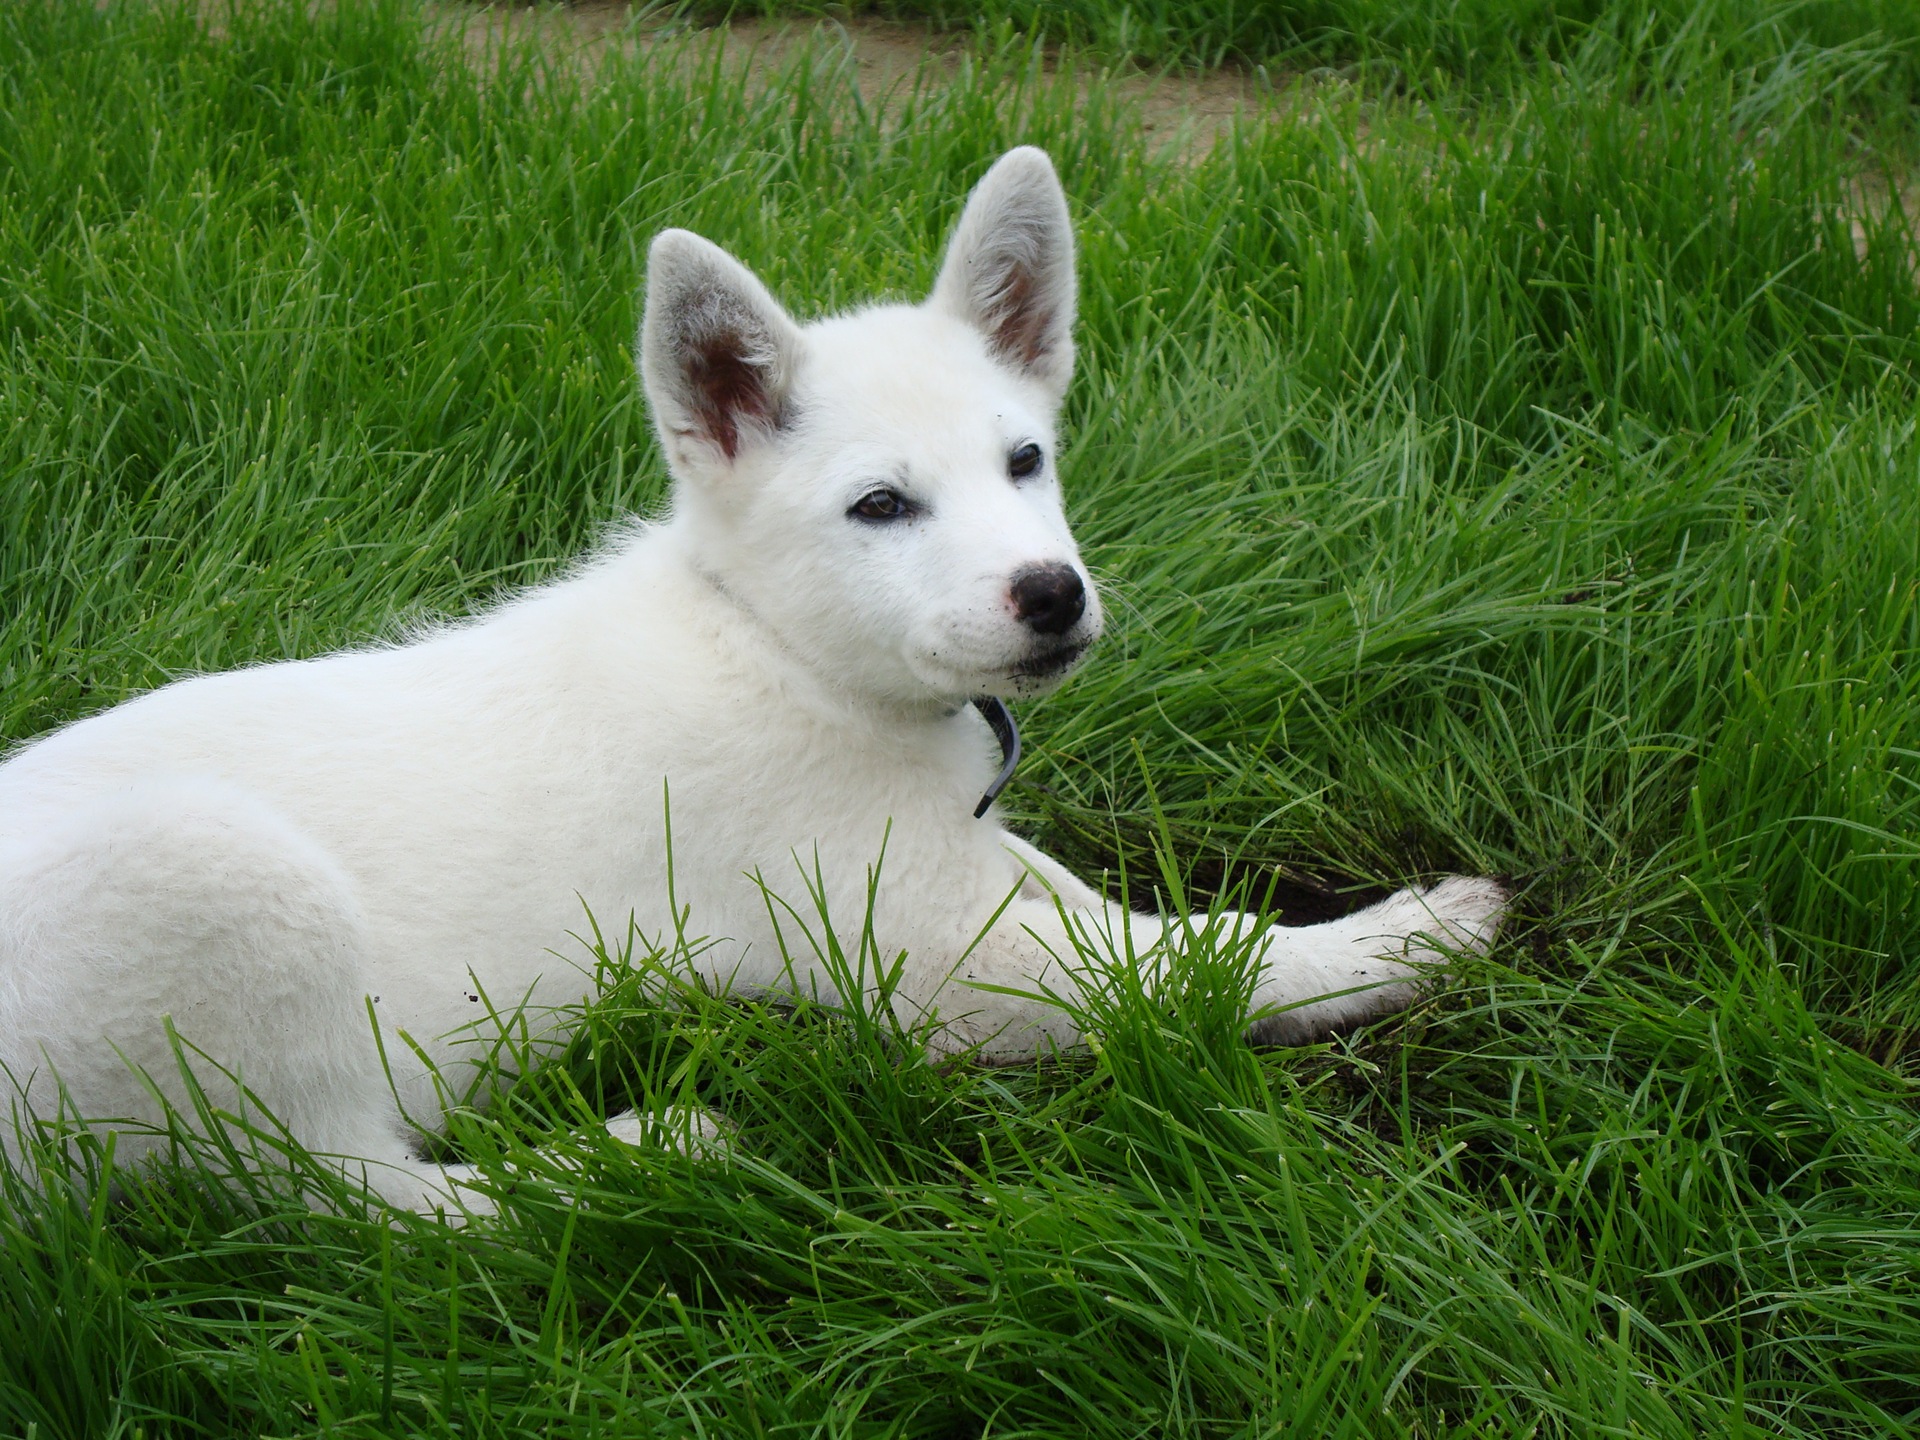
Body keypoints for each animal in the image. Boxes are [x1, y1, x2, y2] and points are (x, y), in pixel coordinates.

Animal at [0, 152, 1497, 1213]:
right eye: (881, 506)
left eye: (1025, 460)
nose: (1051, 595)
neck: (782, 653)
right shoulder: (940, 964)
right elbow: (1202, 962)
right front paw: (1404, 937)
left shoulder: (961, 862)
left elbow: (1115, 910)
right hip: (226, 882)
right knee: (349, 1196)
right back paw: (640, 1152)